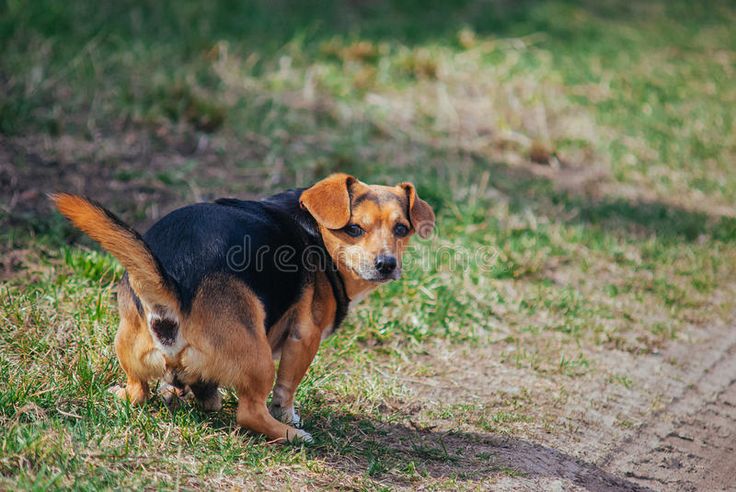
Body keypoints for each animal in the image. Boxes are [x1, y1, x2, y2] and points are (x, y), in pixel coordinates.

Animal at [54, 175, 434, 444]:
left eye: (402, 229)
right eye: (354, 228)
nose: (387, 264)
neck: (317, 232)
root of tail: (173, 289)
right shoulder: (305, 336)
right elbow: (287, 388)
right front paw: (290, 418)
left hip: (129, 347)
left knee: (138, 392)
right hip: (260, 359)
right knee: (249, 413)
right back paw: (292, 436)